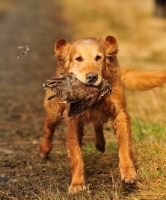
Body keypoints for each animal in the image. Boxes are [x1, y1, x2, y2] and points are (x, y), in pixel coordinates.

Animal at [39, 36, 166, 194]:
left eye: (98, 57)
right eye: (78, 58)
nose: (92, 77)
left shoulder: (120, 113)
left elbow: (125, 146)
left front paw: (129, 173)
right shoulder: (72, 119)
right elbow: (76, 154)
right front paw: (77, 183)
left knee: (97, 125)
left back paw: (100, 144)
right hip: (54, 110)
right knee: (48, 128)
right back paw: (44, 149)